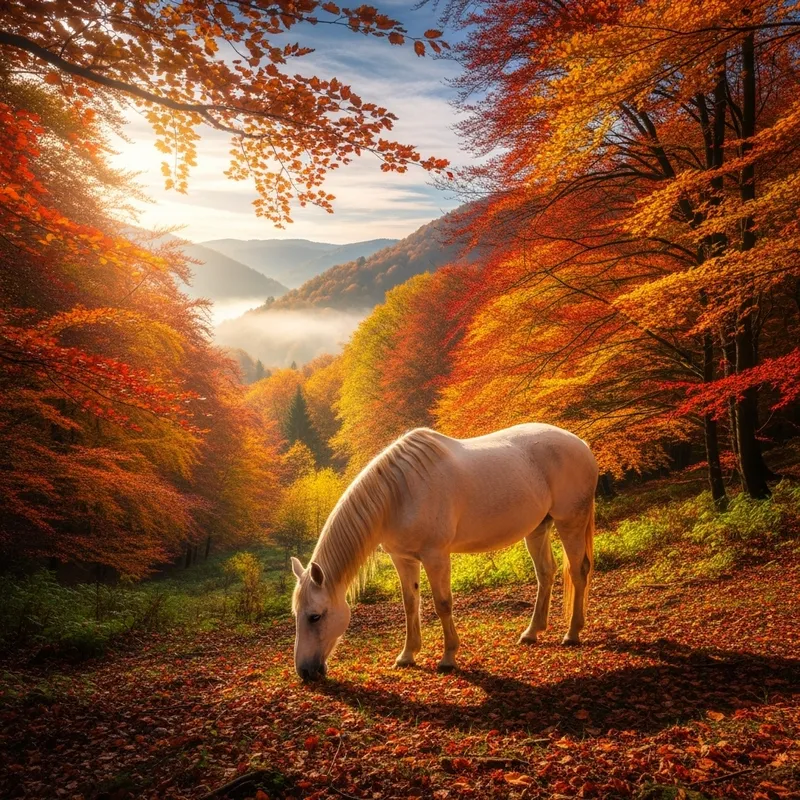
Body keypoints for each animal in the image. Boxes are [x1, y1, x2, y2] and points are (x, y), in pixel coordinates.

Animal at [291, 423, 598, 681]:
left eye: (315, 616)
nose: (305, 672)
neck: (399, 493)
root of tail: (580, 443)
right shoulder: (403, 559)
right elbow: (410, 604)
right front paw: (407, 655)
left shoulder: (436, 556)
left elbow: (443, 604)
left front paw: (448, 657)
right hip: (537, 529)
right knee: (546, 573)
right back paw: (532, 632)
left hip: (570, 522)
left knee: (578, 571)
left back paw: (572, 633)